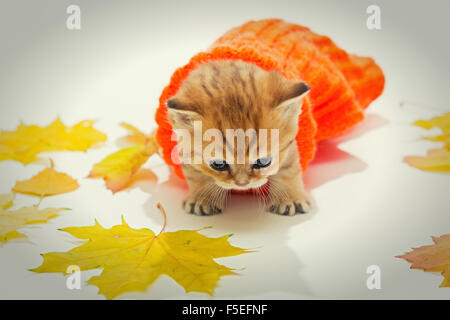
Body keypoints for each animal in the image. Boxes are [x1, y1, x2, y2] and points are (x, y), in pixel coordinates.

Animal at [167, 59, 312, 216]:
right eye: (218, 164)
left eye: (264, 162)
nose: (242, 184)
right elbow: (195, 173)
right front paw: (202, 198)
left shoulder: (289, 145)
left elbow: (289, 169)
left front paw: (290, 198)